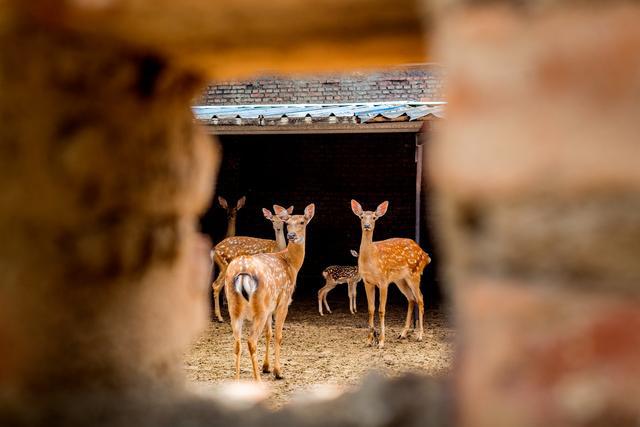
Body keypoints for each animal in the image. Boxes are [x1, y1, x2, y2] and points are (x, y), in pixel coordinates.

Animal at [225, 204, 316, 382]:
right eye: (288, 223)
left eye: (302, 222)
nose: (291, 235)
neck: (291, 264)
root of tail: (242, 271)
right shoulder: (284, 301)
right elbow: (278, 335)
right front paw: (277, 371)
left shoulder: (270, 306)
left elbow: (268, 333)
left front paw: (266, 367)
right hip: (259, 307)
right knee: (251, 341)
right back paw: (258, 380)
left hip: (235, 308)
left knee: (237, 343)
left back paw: (237, 381)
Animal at [350, 199, 430, 350]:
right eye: (361, 216)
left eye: (374, 217)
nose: (367, 226)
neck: (371, 258)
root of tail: (426, 255)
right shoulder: (367, 281)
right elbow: (370, 309)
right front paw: (369, 341)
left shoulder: (383, 280)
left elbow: (381, 310)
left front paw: (381, 342)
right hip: (401, 280)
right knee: (411, 299)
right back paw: (402, 334)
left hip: (415, 273)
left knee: (421, 298)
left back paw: (420, 335)